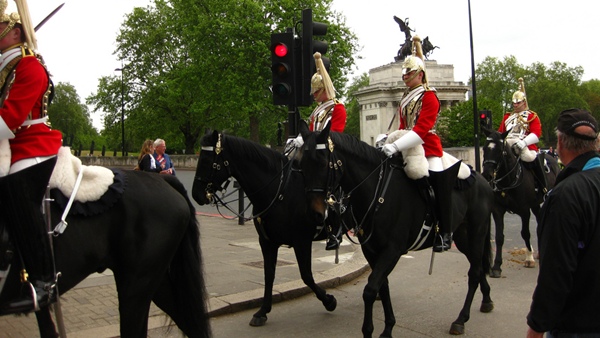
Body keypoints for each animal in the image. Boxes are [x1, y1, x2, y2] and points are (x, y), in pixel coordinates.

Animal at [191, 131, 338, 328]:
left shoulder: (302, 241)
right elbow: (269, 274)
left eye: (207, 160)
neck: (280, 191)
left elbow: (306, 275)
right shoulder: (267, 241)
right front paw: (263, 311)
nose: (196, 194)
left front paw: (329, 301)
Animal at [298, 123, 494, 336]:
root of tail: (482, 179)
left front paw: (369, 330)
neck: (377, 189)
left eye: (322, 163)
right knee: (478, 267)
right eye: (302, 165)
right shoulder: (372, 250)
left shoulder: (393, 249)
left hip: (476, 232)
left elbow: (370, 290)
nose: (315, 214)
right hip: (462, 236)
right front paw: (388, 328)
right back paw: (486, 301)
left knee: (474, 272)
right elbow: (382, 286)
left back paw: (461, 319)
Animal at [480, 128, 560, 276]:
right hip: (535, 204)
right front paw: (497, 266)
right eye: (484, 148)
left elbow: (525, 233)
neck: (509, 179)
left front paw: (529, 259)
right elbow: (499, 237)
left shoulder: (524, 211)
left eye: (499, 150)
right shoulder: (498, 210)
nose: (487, 174)